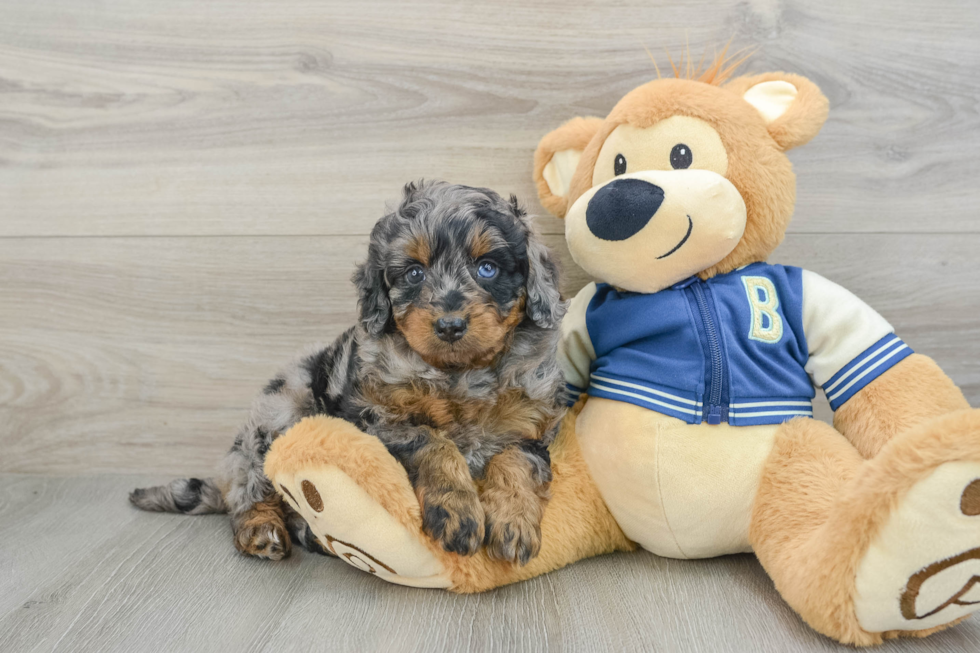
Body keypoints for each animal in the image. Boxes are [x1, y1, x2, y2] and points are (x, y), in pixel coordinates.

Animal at [134, 180, 572, 564]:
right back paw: (261, 529)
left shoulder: (531, 425)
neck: (458, 374)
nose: (450, 326)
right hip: (278, 412)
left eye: (487, 268)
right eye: (414, 273)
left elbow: (516, 460)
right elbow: (431, 441)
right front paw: (457, 512)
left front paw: (514, 521)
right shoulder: (374, 419)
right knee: (248, 491)